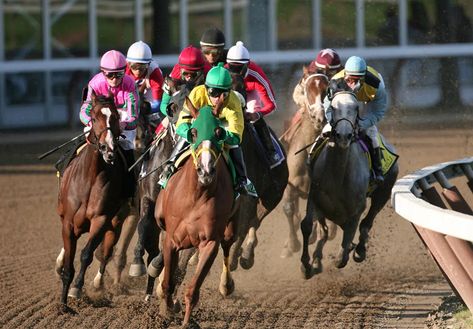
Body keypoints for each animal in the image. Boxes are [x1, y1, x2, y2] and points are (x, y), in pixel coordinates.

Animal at [54, 91, 129, 308]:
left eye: (116, 117)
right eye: (94, 118)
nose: (107, 148)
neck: (90, 177)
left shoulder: (101, 220)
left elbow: (86, 254)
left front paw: (76, 289)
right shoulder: (68, 223)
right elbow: (69, 262)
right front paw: (63, 305)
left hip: (116, 221)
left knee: (105, 252)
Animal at [153, 97, 236, 326]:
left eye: (219, 132)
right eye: (194, 132)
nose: (206, 170)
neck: (197, 195)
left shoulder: (209, 242)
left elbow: (192, 290)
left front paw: (185, 322)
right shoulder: (172, 239)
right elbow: (168, 283)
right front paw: (165, 312)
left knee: (228, 244)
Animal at [300, 91, 396, 278]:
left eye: (356, 108)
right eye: (333, 107)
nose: (343, 136)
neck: (338, 175)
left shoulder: (357, 209)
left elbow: (342, 257)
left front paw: (349, 250)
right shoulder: (315, 197)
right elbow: (307, 225)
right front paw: (307, 265)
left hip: (383, 193)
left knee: (366, 223)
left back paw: (359, 249)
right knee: (326, 230)